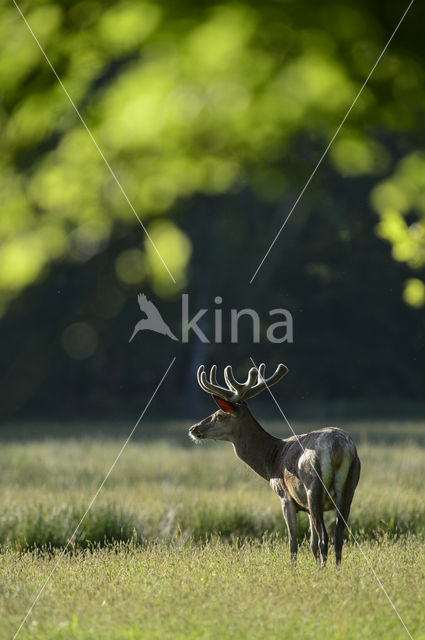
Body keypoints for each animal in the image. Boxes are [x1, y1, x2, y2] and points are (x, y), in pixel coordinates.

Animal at [190, 362, 360, 568]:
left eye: (219, 414)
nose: (193, 428)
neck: (272, 460)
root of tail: (338, 447)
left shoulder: (285, 496)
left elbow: (293, 543)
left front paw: (294, 570)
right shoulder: (306, 507)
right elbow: (311, 545)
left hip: (313, 486)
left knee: (324, 537)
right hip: (349, 486)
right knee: (338, 535)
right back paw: (336, 570)